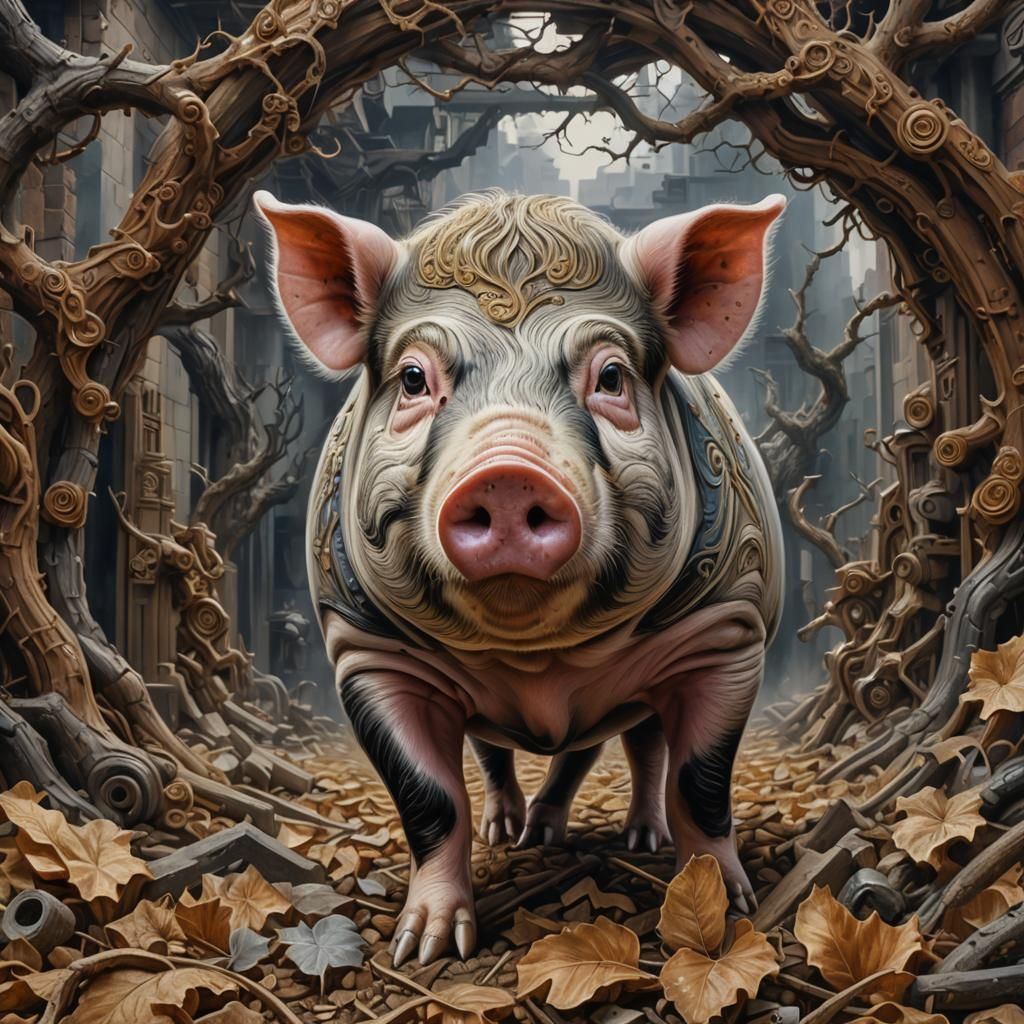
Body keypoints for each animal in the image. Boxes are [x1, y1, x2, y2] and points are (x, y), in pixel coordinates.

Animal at [254, 189, 785, 966]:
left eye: (612, 377)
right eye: (413, 379)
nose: (506, 473)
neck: (540, 665)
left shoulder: (730, 632)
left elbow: (702, 780)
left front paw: (731, 910)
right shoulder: (367, 651)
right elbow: (428, 797)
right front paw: (425, 949)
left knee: (634, 749)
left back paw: (629, 839)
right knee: (504, 755)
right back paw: (513, 834)